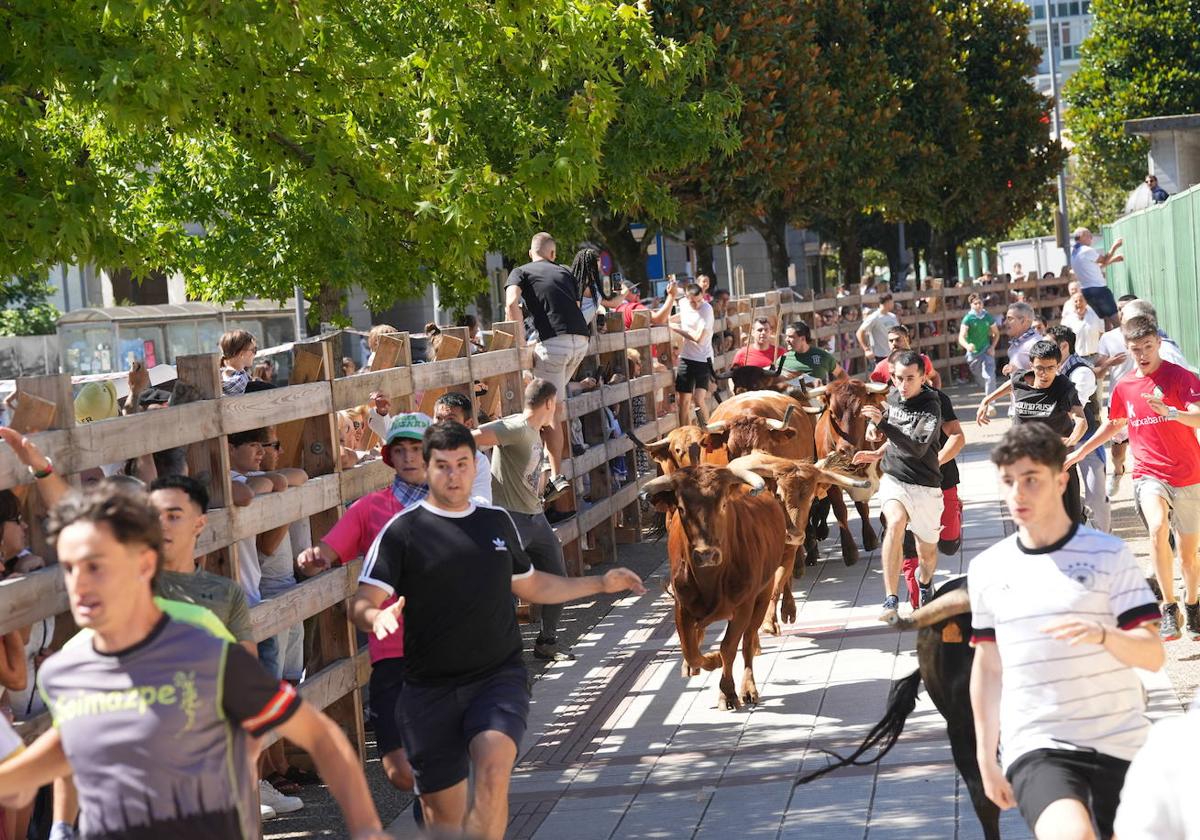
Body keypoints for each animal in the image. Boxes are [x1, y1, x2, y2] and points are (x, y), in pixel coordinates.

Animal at [643, 463, 792, 710]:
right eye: (681, 508)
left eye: (723, 504)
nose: (707, 554)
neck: (710, 582)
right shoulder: (681, 607)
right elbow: (690, 649)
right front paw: (710, 660)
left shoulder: (743, 606)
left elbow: (729, 647)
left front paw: (728, 692)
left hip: (763, 594)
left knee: (748, 640)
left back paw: (748, 688)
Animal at [806, 379, 892, 564]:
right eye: (831, 412)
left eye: (861, 410)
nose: (847, 450)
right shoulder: (830, 482)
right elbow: (840, 511)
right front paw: (849, 551)